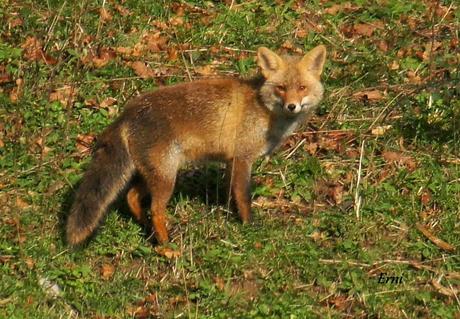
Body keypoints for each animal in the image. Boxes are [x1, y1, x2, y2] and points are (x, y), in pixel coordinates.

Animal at [65, 45, 328, 248]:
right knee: (156, 209)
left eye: (302, 88)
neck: (264, 111)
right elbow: (243, 197)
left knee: (132, 196)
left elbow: (232, 192)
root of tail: (128, 113)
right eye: (281, 88)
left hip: (154, 172)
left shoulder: (231, 161)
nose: (292, 106)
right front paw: (248, 226)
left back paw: (146, 228)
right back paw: (166, 245)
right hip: (166, 177)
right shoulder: (243, 158)